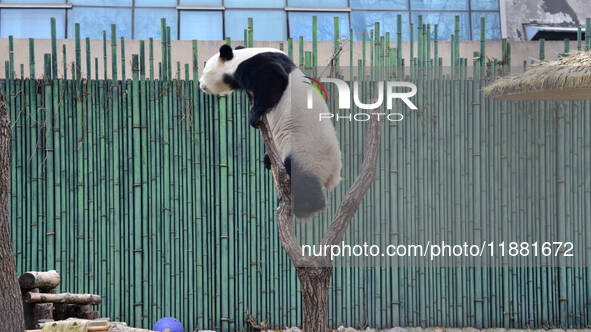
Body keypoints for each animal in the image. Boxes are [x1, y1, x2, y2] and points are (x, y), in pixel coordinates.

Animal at [199, 44, 342, 220]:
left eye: (205, 69)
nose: (199, 83)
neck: (240, 57)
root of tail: (333, 175)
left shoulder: (254, 65)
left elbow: (274, 79)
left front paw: (254, 115)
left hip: (308, 152)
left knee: (303, 179)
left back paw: (304, 207)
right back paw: (268, 160)